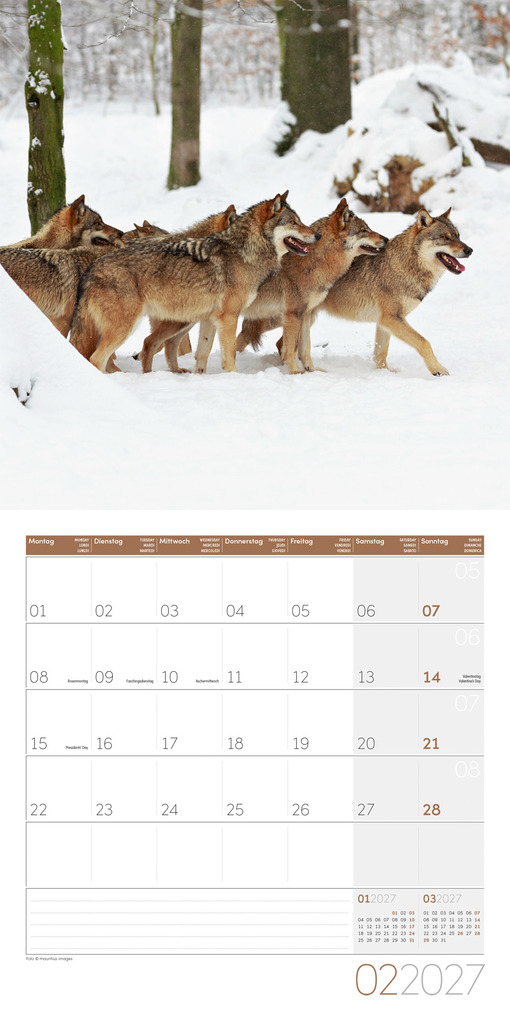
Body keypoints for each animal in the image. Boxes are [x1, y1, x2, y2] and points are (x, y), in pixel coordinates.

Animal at [70, 193, 319, 374]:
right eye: (294, 222)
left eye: (300, 221)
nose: (317, 235)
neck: (245, 252)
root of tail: (92, 268)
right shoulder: (229, 317)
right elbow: (229, 355)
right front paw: (234, 378)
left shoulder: (210, 319)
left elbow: (202, 354)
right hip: (125, 328)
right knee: (97, 359)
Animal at [202, 198, 387, 374]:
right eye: (364, 230)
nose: (385, 239)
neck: (315, 261)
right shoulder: (293, 314)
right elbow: (290, 349)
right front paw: (295, 372)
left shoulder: (305, 314)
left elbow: (305, 348)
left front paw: (311, 371)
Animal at [300, 207, 473, 376]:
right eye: (445, 238)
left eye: (458, 236)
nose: (469, 250)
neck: (405, 266)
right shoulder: (391, 318)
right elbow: (424, 342)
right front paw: (438, 369)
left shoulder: (384, 321)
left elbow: (380, 354)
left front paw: (385, 373)